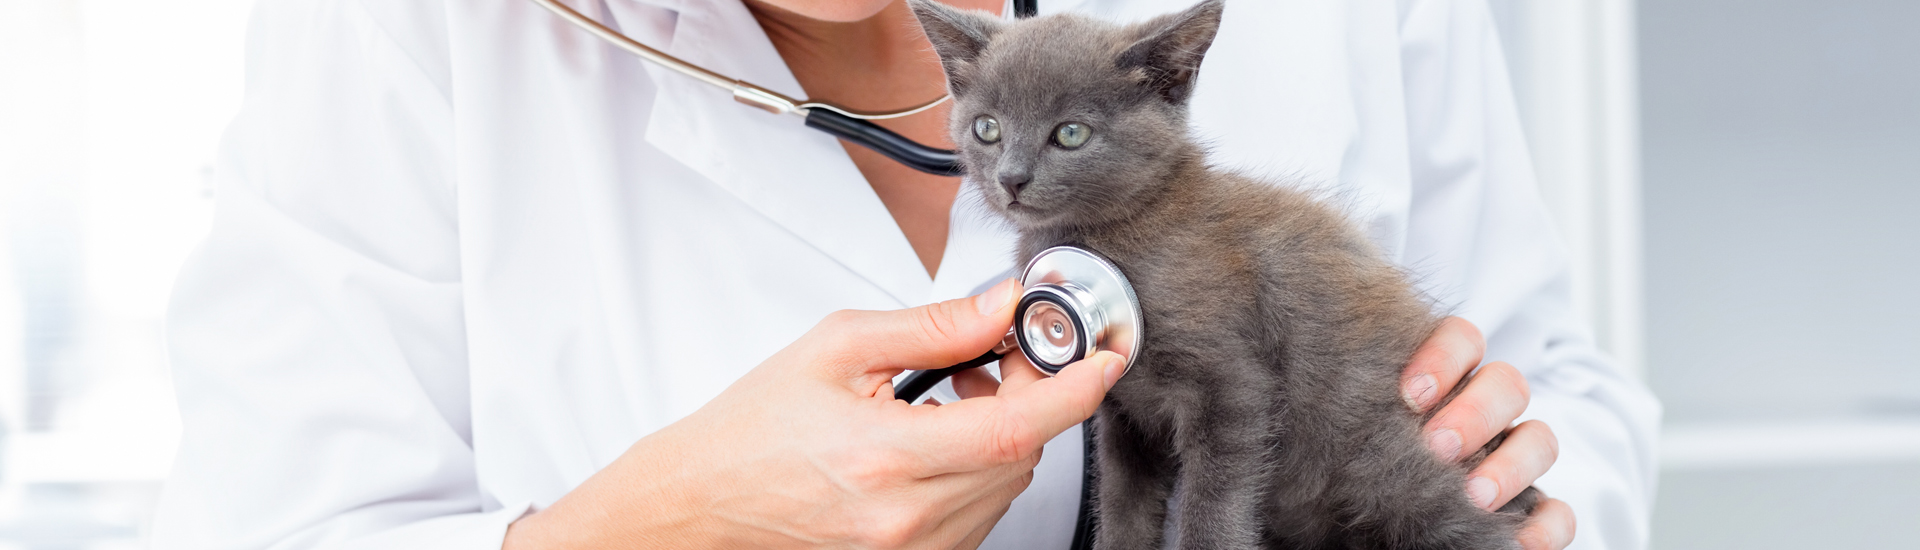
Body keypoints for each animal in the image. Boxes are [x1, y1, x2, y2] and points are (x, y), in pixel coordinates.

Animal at [910, 1, 1543, 550]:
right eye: (987, 128)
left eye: (1070, 133)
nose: (1012, 178)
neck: (1115, 239)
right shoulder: (1124, 410)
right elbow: (1124, 502)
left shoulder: (1233, 387)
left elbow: (1214, 500)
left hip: (1400, 469)